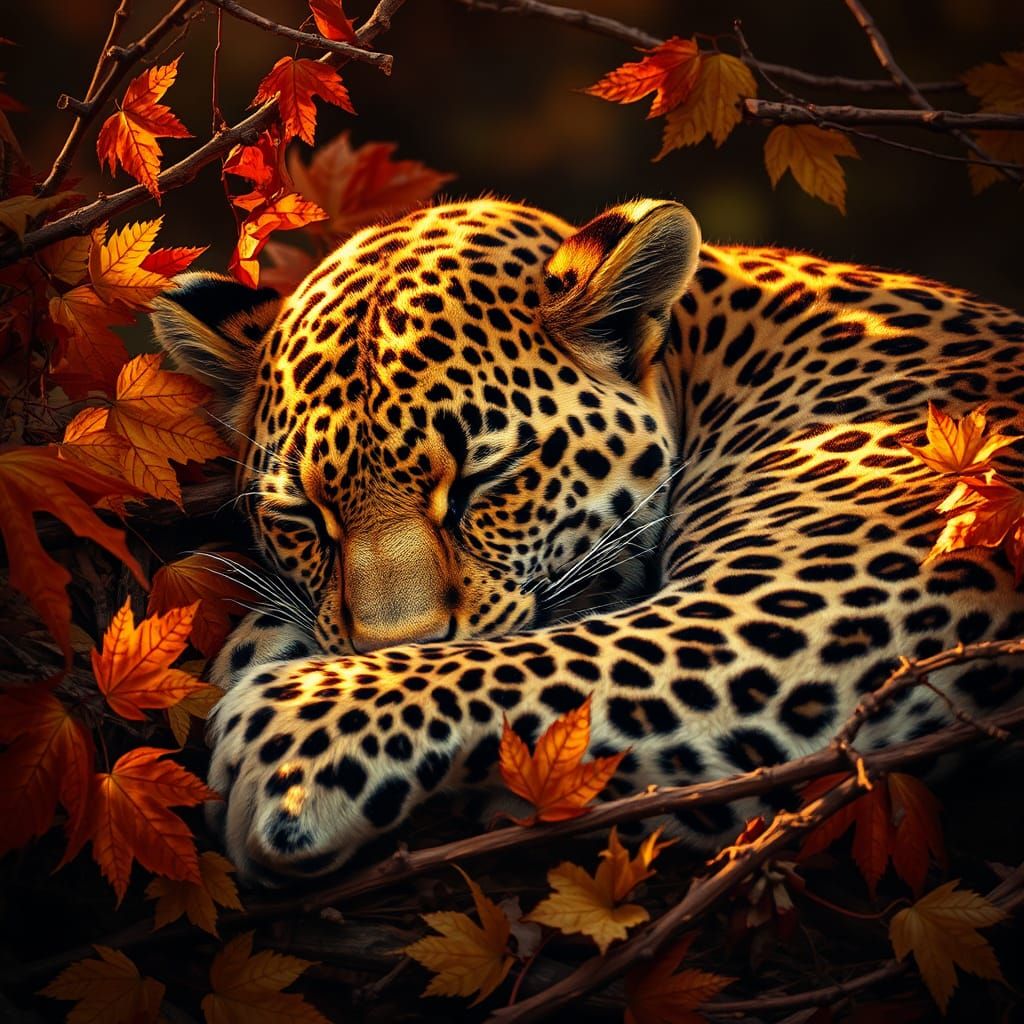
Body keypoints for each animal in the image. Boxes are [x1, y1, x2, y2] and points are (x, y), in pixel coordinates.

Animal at [151, 197, 1024, 884]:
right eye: (303, 517)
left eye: (484, 479)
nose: (388, 644)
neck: (713, 360)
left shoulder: (814, 604)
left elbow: (534, 658)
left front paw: (290, 740)